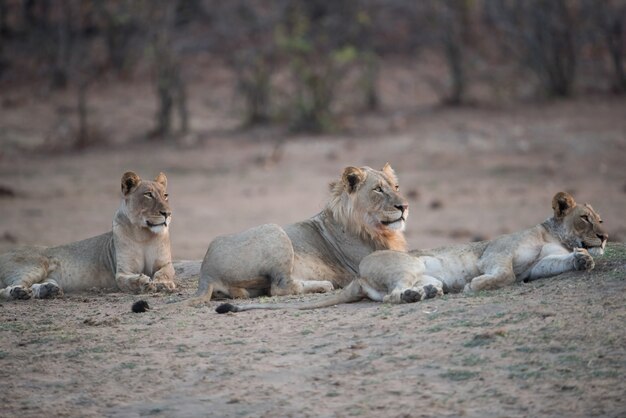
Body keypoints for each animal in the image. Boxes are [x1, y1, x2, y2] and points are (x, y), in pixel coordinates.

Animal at [0, 171, 176, 298]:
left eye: (165, 195)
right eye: (148, 194)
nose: (167, 213)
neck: (144, 234)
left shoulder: (166, 263)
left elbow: (164, 272)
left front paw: (164, 284)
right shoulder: (123, 271)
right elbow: (125, 280)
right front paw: (143, 282)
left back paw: (47, 290)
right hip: (35, 266)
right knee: (8, 288)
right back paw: (18, 292)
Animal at [188, 163, 408, 304]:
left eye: (396, 186)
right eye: (378, 189)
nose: (404, 206)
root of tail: (206, 273)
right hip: (275, 230)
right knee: (280, 287)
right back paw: (324, 285)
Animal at [214, 191, 604, 312]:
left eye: (600, 217)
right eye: (585, 217)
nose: (604, 236)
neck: (554, 233)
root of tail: (359, 275)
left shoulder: (539, 264)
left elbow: (554, 264)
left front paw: (582, 260)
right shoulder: (497, 252)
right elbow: (502, 274)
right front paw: (476, 285)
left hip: (423, 274)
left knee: (403, 292)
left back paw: (428, 292)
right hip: (405, 268)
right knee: (392, 296)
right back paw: (417, 296)